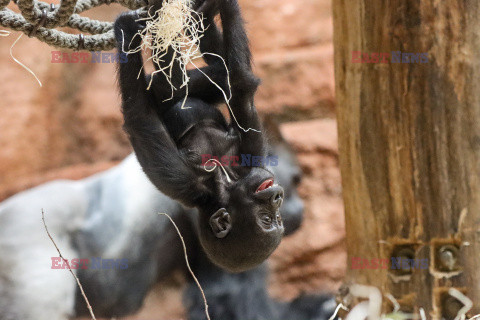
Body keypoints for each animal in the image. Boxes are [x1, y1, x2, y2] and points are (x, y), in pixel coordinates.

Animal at [114, 0, 284, 272]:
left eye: (271, 219)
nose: (277, 196)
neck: (224, 177)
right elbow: (239, 87)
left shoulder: (198, 178)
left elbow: (241, 87)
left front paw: (127, 31)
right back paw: (196, 17)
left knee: (177, 83)